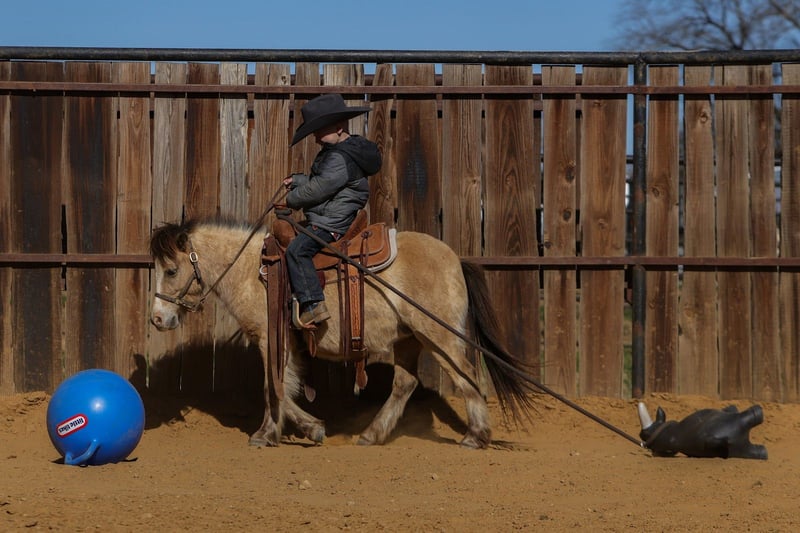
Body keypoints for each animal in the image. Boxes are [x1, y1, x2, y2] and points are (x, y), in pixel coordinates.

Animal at [149, 219, 533, 448]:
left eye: (171, 271)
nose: (157, 319)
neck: (252, 271)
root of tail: (455, 260)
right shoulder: (285, 343)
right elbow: (281, 386)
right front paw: (290, 429)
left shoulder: (270, 339)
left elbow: (272, 386)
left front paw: (276, 432)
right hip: (410, 339)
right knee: (405, 384)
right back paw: (372, 434)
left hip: (440, 336)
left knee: (468, 377)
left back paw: (476, 435)